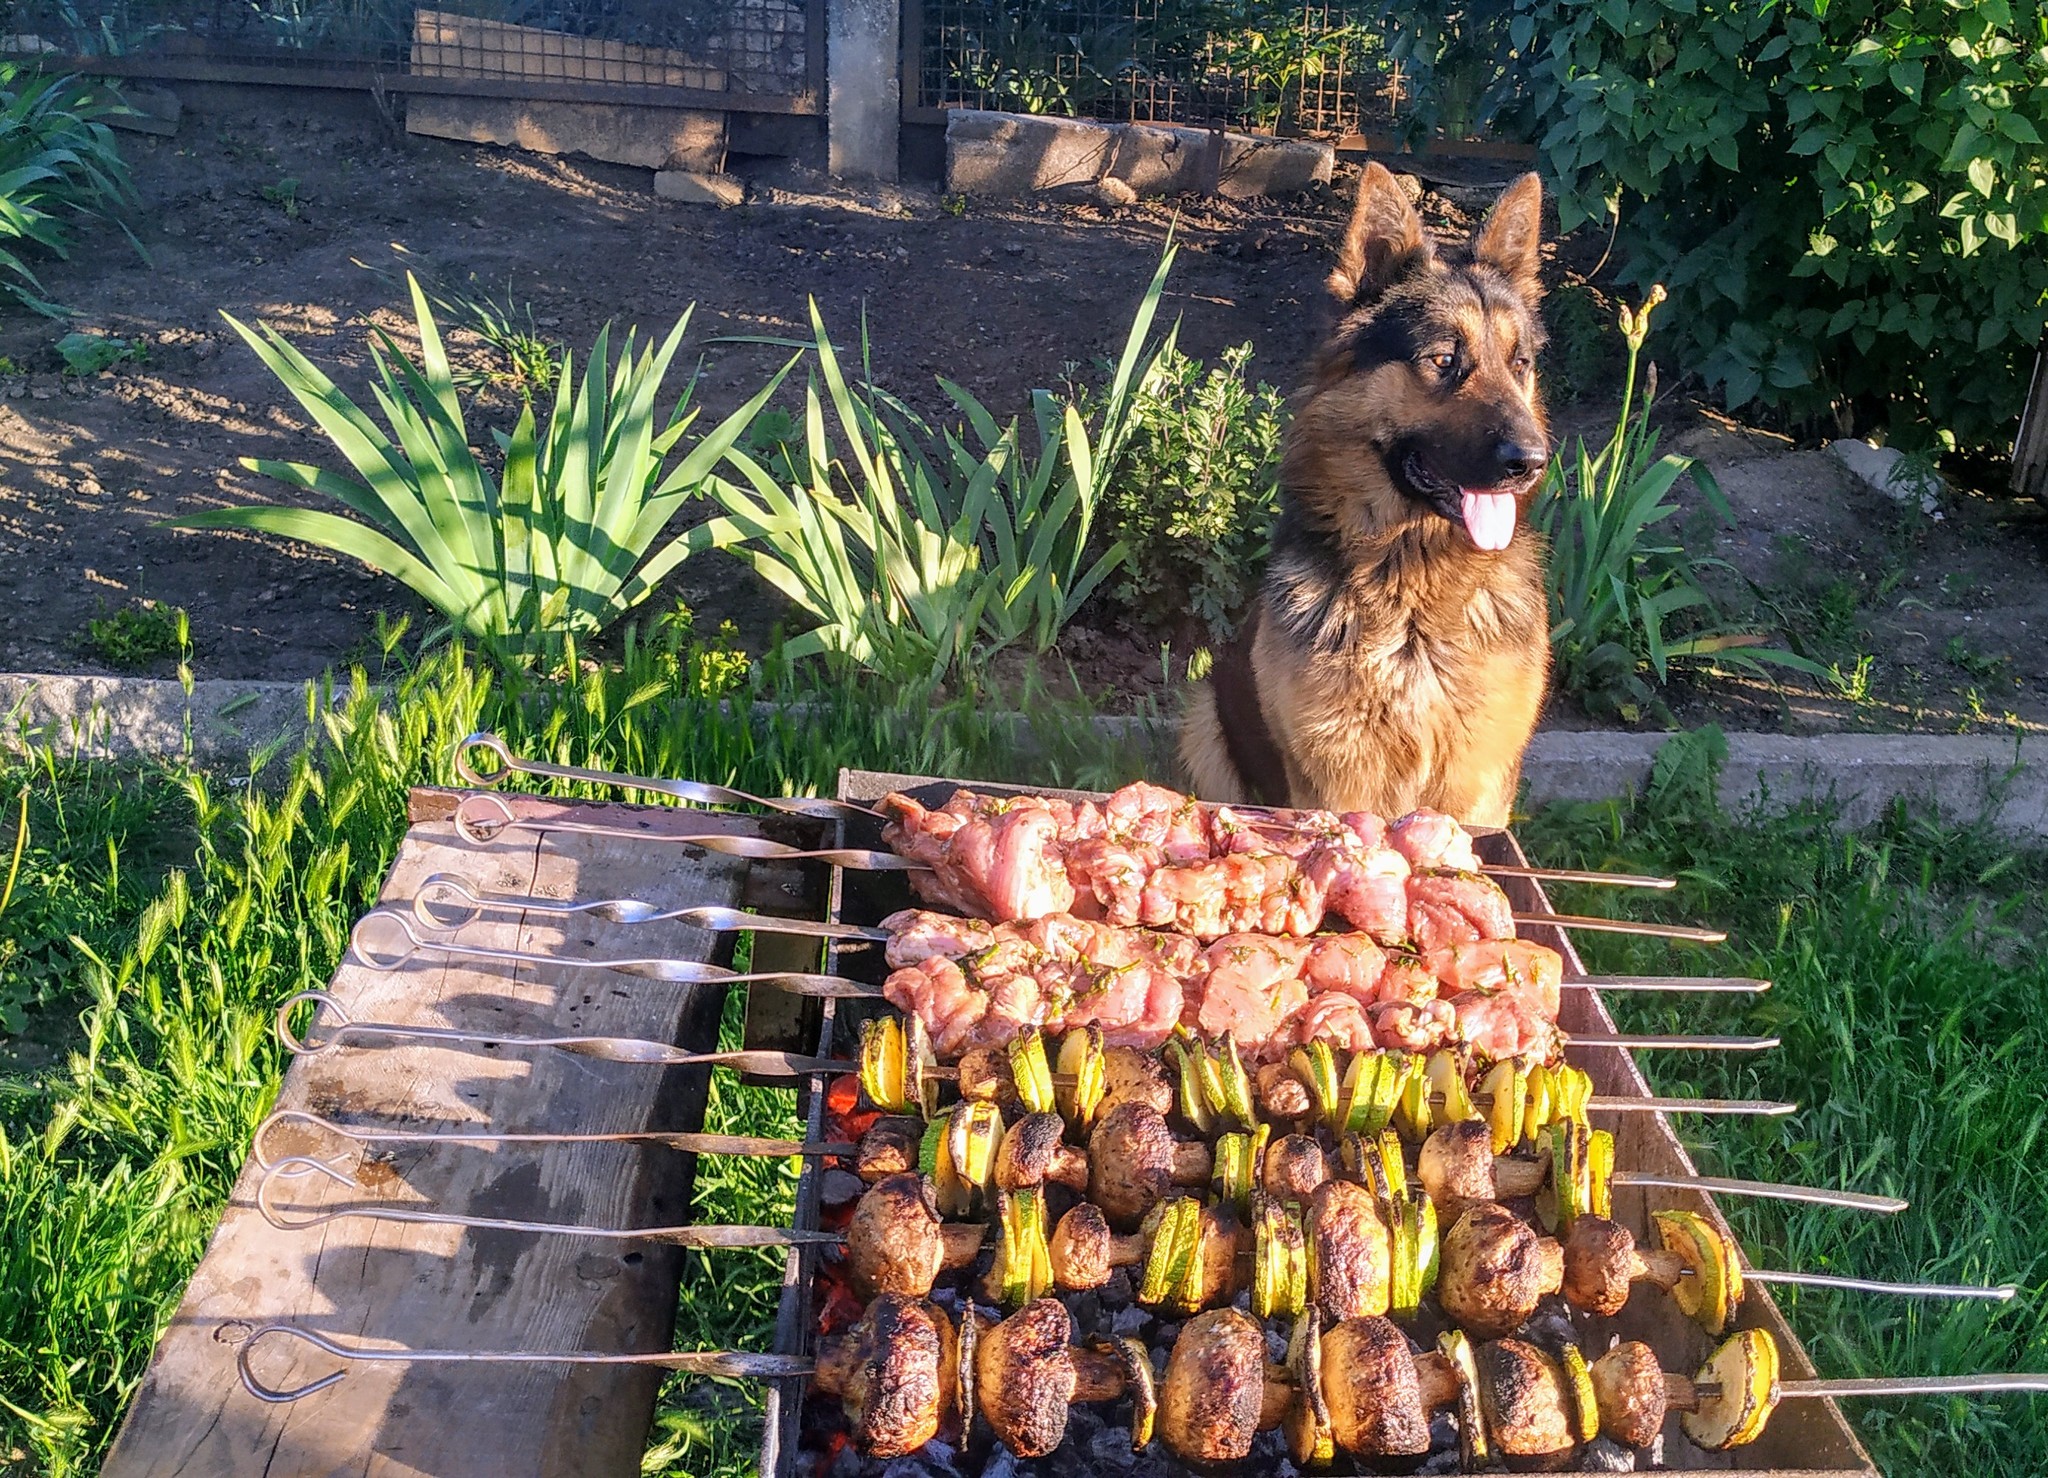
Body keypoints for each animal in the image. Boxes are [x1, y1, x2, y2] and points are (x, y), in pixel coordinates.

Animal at [1179, 169, 1540, 827]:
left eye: (1519, 363)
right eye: (1444, 360)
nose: (1529, 462)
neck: (1413, 595)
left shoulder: (1478, 785)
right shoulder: (1336, 779)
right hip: (1205, 719)